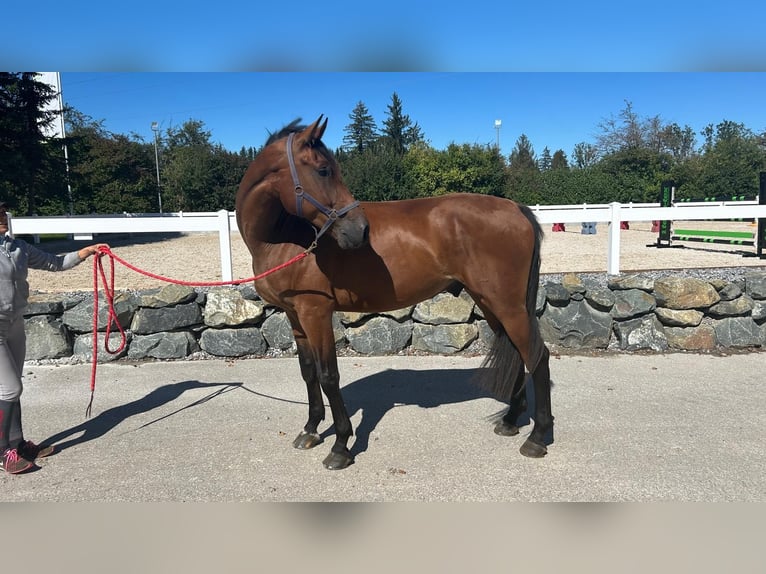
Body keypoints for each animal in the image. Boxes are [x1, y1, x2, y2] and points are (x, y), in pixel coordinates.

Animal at [237, 117, 556, 472]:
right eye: (323, 170)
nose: (359, 231)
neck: (283, 237)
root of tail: (516, 208)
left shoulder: (315, 312)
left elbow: (328, 375)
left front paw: (340, 446)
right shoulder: (295, 314)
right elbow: (308, 372)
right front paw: (310, 430)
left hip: (507, 305)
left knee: (538, 357)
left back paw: (537, 438)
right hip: (491, 302)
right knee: (516, 351)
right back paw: (512, 421)